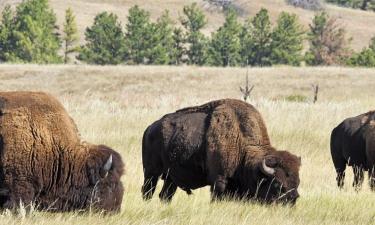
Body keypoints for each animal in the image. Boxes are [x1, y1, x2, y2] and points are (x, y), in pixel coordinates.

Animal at [142, 98, 302, 204]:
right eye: (278, 184)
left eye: (298, 182)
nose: (293, 200)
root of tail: (150, 128)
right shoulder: (219, 180)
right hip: (151, 173)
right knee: (147, 191)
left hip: (171, 178)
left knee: (165, 195)